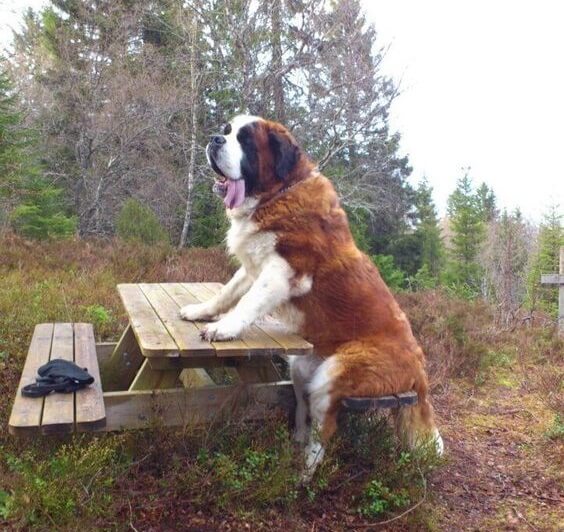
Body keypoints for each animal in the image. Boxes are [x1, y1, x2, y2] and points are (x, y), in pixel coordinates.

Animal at [178, 113, 442, 478]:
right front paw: (202, 311)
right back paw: (292, 448)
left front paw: (224, 329)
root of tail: (419, 370)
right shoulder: (254, 268)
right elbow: (229, 292)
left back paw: (302, 475)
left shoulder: (281, 274)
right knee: (303, 411)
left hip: (334, 377)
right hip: (302, 367)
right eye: (228, 131)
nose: (215, 138)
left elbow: (247, 303)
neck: (277, 195)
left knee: (324, 430)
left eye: (246, 141)